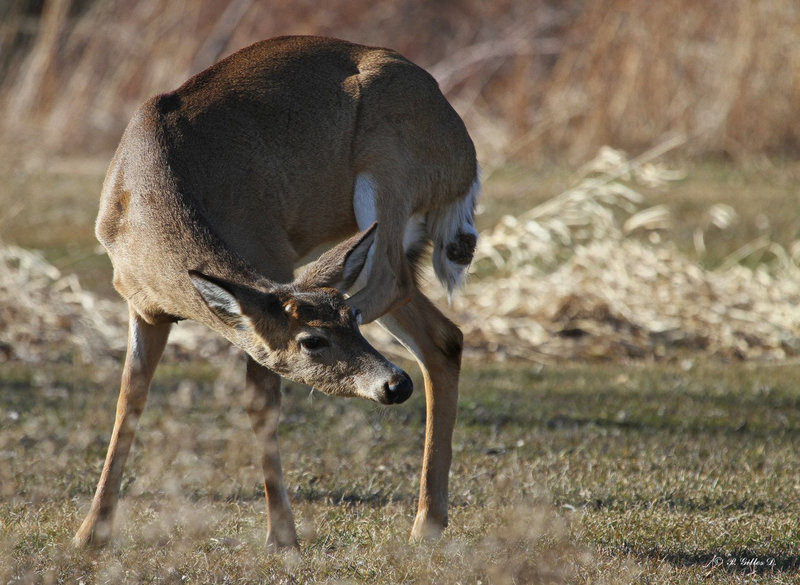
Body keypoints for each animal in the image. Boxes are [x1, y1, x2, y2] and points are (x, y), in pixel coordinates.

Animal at [72, 35, 478, 548]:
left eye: (330, 333)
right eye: (313, 341)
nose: (395, 384)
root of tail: (465, 154)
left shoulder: (270, 254)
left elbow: (260, 400)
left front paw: (283, 535)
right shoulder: (140, 306)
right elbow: (129, 400)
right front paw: (91, 531)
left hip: (388, 170)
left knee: (393, 279)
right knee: (443, 337)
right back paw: (427, 523)